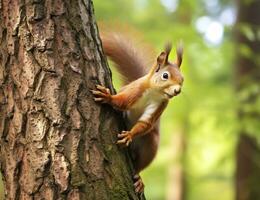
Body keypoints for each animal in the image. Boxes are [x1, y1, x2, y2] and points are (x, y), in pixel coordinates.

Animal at [91, 32, 183, 194]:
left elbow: (145, 123)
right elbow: (123, 102)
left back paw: (139, 178)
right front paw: (108, 97)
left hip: (149, 145)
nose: (177, 91)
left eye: (182, 79)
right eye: (165, 75)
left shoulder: (160, 105)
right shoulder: (136, 90)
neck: (155, 92)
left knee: (139, 164)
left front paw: (129, 135)